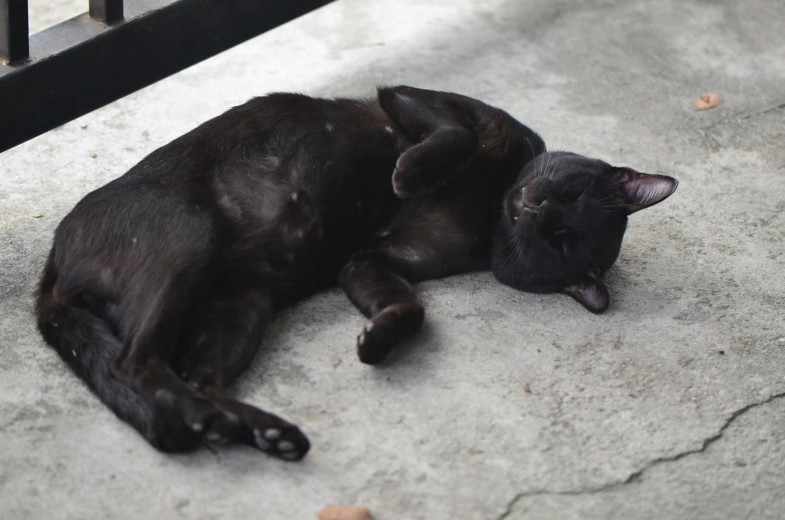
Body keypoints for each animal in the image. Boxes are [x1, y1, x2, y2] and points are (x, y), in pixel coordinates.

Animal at [35, 85, 672, 460]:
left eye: (561, 240)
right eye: (571, 193)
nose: (535, 207)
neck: (491, 202)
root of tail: (54, 263)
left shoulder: (369, 259)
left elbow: (410, 309)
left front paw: (378, 340)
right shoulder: (420, 99)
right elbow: (458, 133)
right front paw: (409, 172)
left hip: (241, 305)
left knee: (183, 374)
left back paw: (251, 429)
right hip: (191, 238)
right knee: (138, 363)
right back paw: (215, 422)